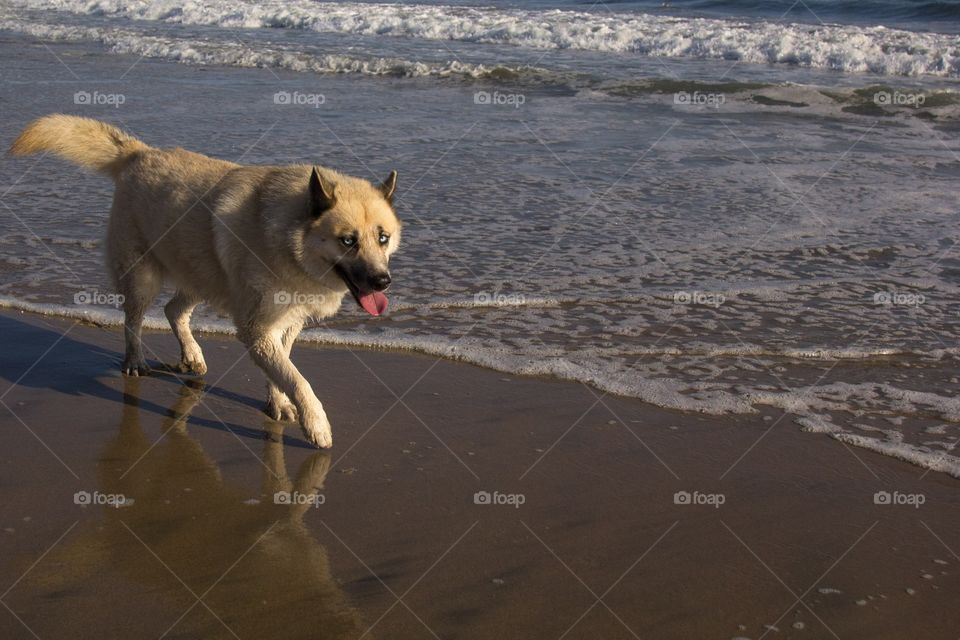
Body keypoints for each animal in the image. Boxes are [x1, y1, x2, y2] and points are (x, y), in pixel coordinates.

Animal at [11, 114, 402, 450]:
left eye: (383, 238)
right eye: (348, 241)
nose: (382, 281)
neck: (290, 239)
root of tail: (140, 152)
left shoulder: (286, 324)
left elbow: (282, 369)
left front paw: (278, 404)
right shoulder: (256, 330)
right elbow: (296, 377)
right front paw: (316, 424)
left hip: (201, 277)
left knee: (173, 310)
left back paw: (192, 355)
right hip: (143, 278)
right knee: (133, 320)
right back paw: (135, 361)